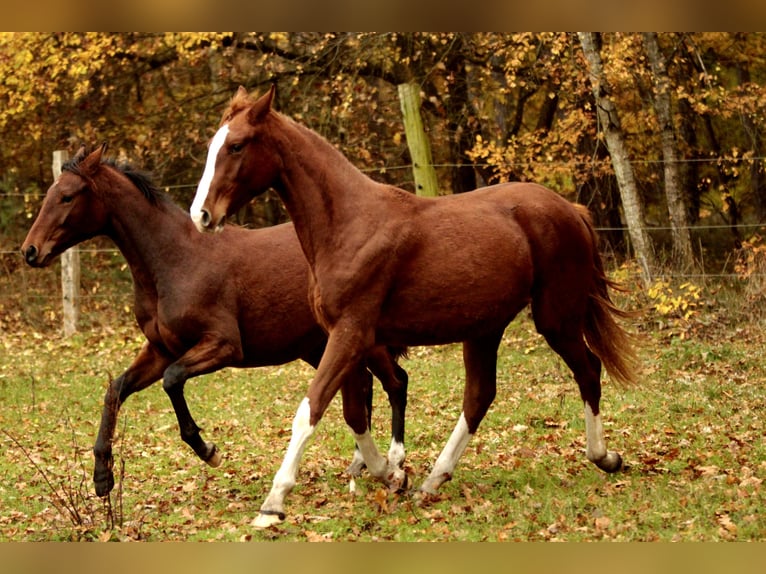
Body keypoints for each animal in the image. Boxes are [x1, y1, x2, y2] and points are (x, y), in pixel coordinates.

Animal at [21, 146, 412, 502]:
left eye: (67, 196)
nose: (30, 251)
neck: (177, 261)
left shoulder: (222, 346)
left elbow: (172, 381)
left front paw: (208, 450)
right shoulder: (161, 350)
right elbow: (115, 390)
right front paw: (102, 478)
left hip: (364, 340)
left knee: (395, 382)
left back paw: (392, 463)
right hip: (319, 348)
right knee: (363, 386)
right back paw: (361, 463)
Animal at [189, 83, 640, 528]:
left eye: (237, 146)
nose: (202, 215)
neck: (348, 226)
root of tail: (572, 211)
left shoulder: (350, 335)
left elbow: (312, 410)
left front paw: (273, 504)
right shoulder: (346, 339)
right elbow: (354, 414)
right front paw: (393, 475)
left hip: (555, 318)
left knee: (588, 370)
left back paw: (605, 457)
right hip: (485, 329)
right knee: (480, 397)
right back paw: (432, 482)